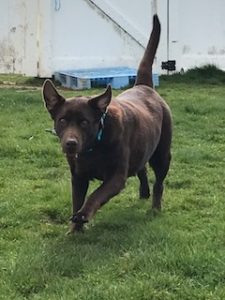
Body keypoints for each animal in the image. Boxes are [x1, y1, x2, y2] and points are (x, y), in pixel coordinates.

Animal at [42, 14, 172, 232]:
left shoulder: (116, 177)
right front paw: (74, 230)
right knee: (142, 168)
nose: (70, 143)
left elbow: (95, 196)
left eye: (84, 122)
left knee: (159, 182)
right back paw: (143, 193)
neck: (94, 146)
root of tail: (144, 86)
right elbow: (77, 200)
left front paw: (83, 215)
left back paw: (155, 208)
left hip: (162, 154)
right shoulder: (78, 176)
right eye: (62, 120)